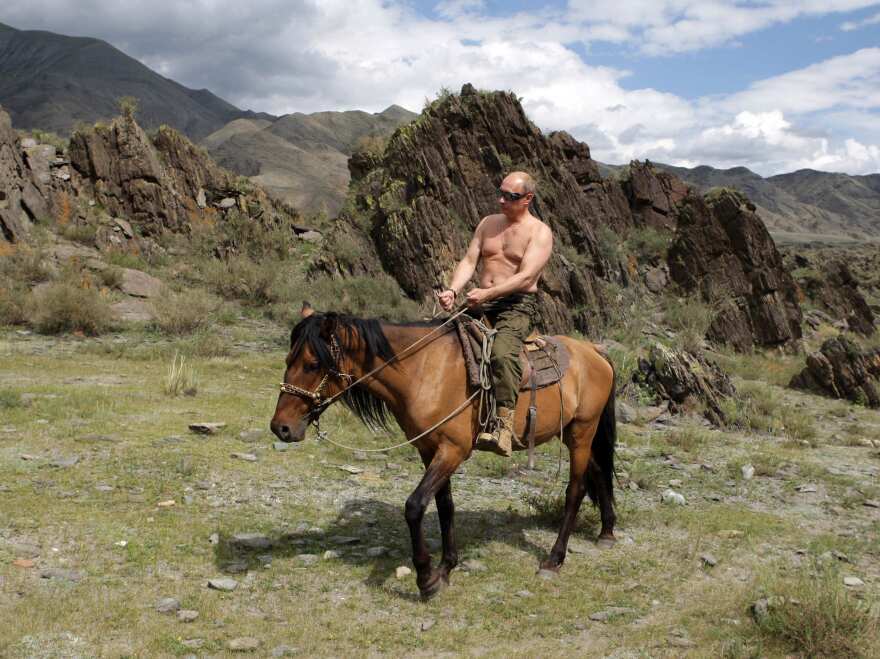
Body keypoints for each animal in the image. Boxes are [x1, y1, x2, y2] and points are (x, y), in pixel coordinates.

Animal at [272, 312, 616, 600]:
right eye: (288, 359)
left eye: (312, 364)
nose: (281, 427)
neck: (422, 371)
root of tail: (593, 351)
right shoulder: (430, 450)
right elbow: (444, 505)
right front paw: (446, 568)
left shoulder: (453, 450)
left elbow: (414, 506)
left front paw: (426, 578)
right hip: (571, 431)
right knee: (599, 471)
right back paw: (607, 531)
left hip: (581, 431)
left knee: (575, 490)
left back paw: (554, 559)